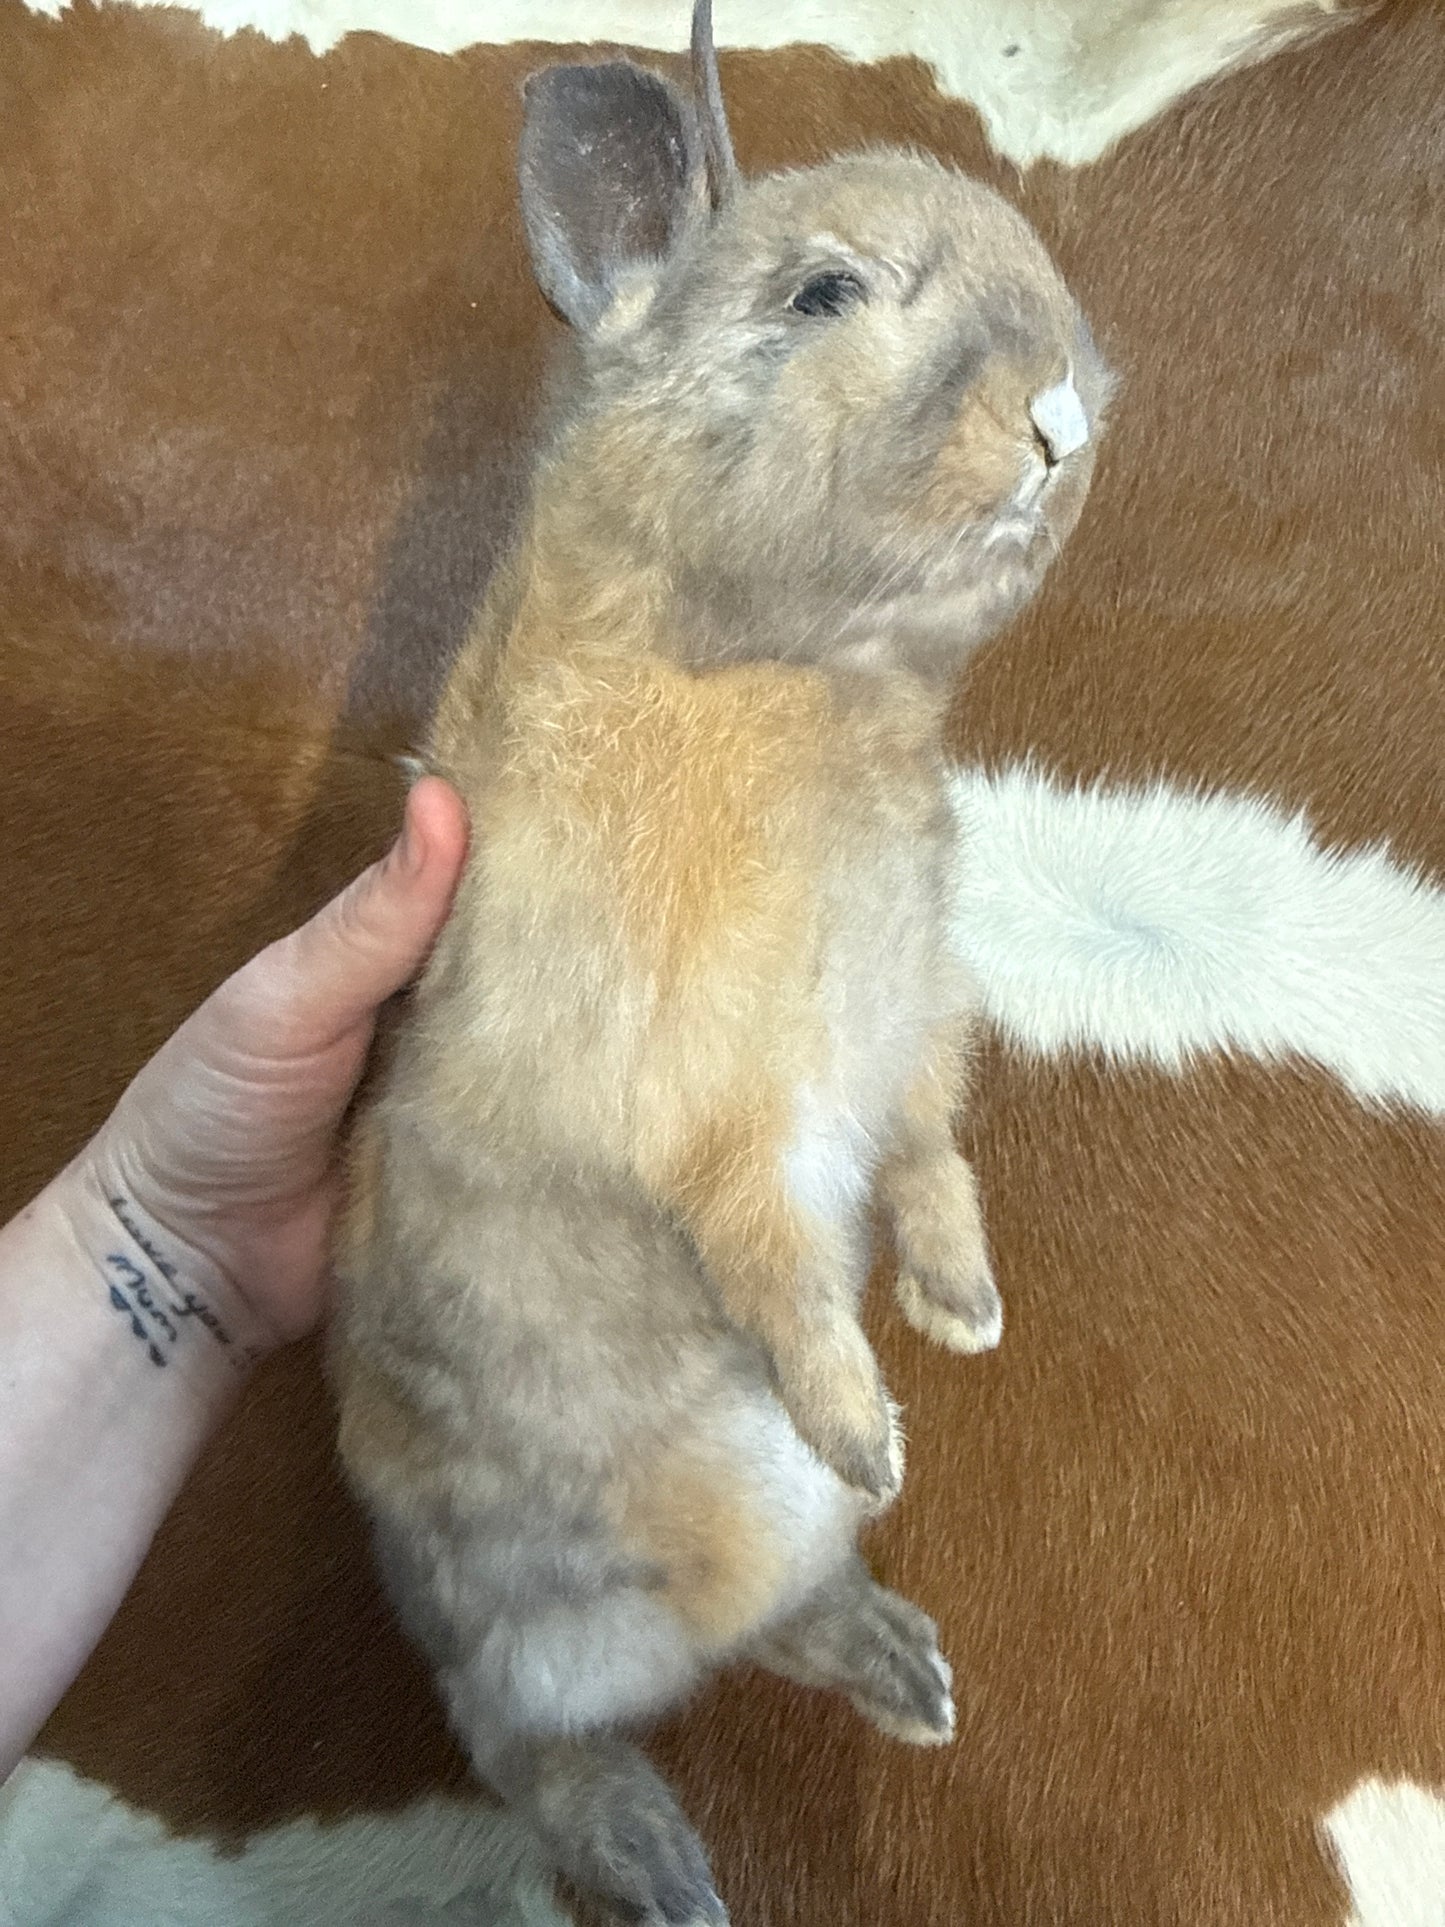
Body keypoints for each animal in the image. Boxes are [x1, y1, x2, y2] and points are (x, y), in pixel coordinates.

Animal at [330, 5, 1111, 1922]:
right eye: (823, 295)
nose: (1063, 413)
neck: (785, 674)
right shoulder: (722, 1122)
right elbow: (773, 1258)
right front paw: (875, 1423)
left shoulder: (906, 1035)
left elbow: (929, 1158)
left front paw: (960, 1310)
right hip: (549, 1634)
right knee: (536, 1747)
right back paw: (663, 1858)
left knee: (769, 1623)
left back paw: (905, 1675)